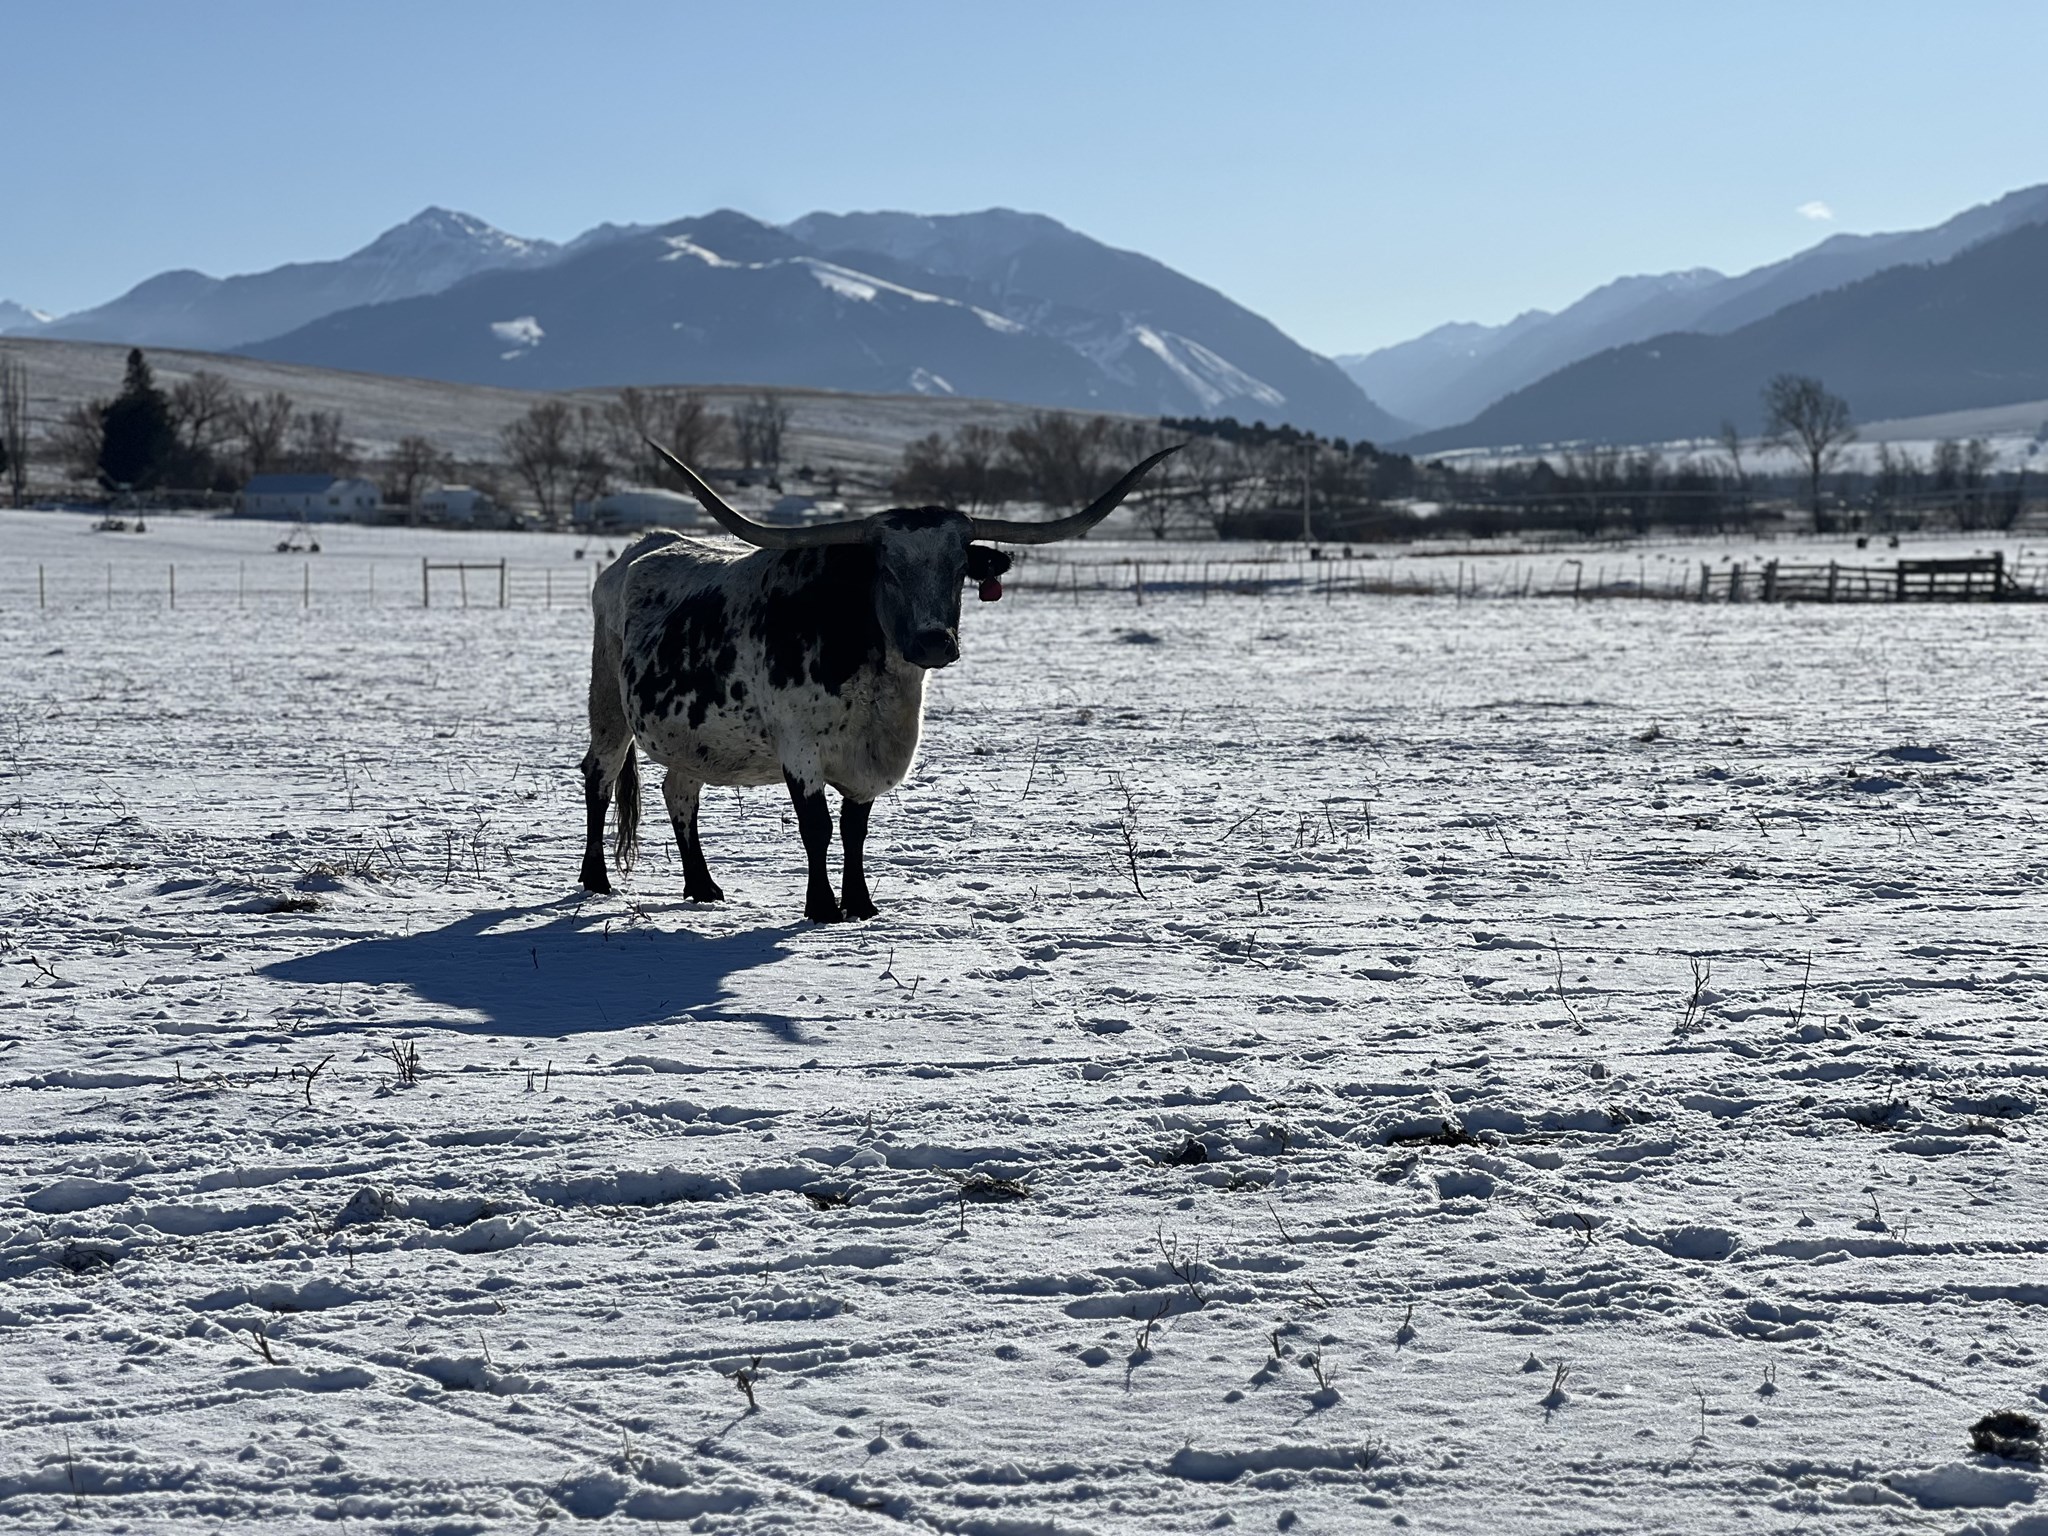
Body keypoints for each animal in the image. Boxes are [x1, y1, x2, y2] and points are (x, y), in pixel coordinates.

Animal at [578, 441, 1179, 921]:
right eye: (886, 568)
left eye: (958, 570)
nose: (935, 642)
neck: (876, 681)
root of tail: (636, 550)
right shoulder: (801, 749)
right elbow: (817, 828)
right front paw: (822, 908)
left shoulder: (870, 757)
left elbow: (854, 830)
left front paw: (862, 905)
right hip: (607, 702)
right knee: (599, 777)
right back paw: (596, 879)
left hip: (693, 738)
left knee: (679, 793)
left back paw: (702, 886)